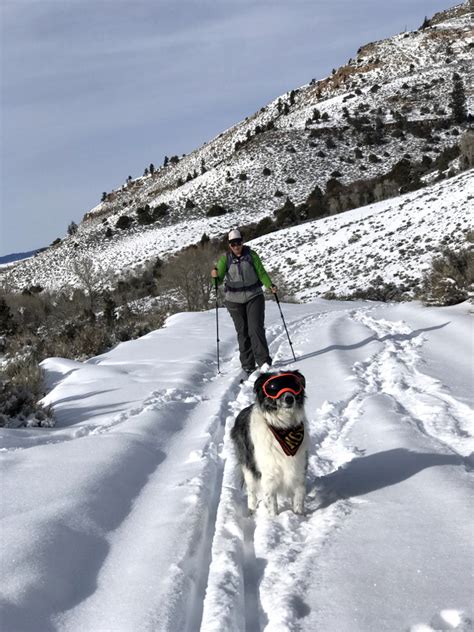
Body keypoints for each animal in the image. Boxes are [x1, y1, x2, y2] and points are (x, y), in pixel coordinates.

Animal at [231, 368, 310, 516]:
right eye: (273, 387)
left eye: (294, 384)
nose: (289, 398)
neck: (283, 426)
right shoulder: (269, 474)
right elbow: (271, 502)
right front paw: (274, 519)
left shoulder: (299, 469)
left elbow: (298, 498)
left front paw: (298, 516)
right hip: (248, 467)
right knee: (251, 492)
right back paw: (251, 511)